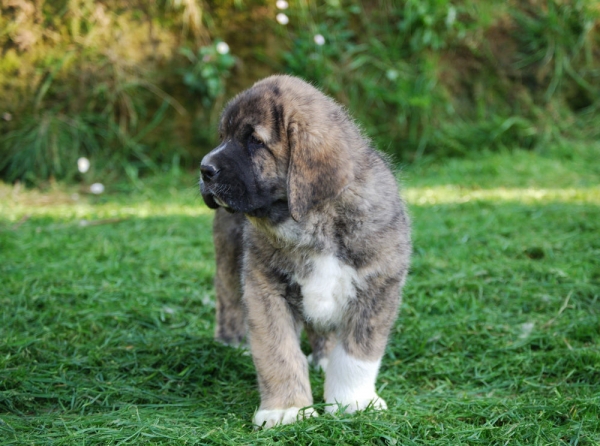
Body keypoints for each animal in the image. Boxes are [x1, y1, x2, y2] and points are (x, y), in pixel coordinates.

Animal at [199, 76, 410, 428]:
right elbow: (278, 351)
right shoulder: (265, 288)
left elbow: (357, 353)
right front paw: (287, 409)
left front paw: (353, 400)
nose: (204, 169)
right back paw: (232, 345)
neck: (315, 222)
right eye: (223, 137)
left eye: (254, 141)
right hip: (228, 257)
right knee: (228, 299)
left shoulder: (377, 287)